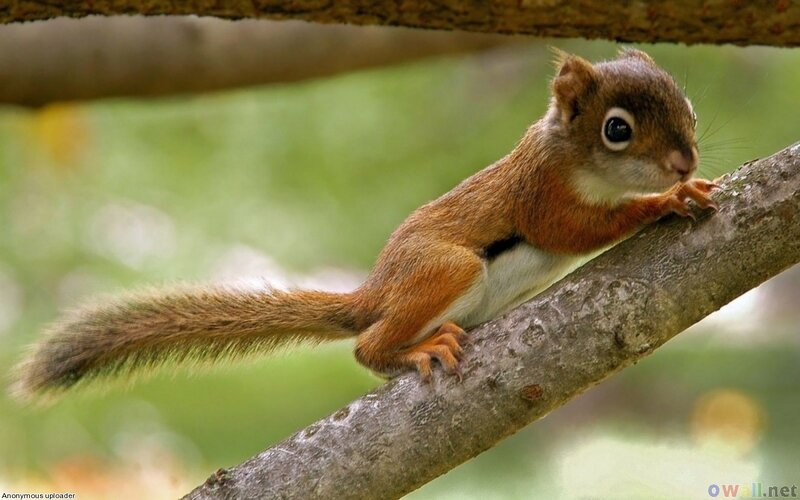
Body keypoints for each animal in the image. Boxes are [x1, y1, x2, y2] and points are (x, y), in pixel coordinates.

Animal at [11, 48, 718, 401]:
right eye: (617, 129)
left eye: (685, 100)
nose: (685, 158)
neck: (571, 156)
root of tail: (374, 293)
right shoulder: (540, 197)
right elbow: (573, 231)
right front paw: (662, 200)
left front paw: (685, 186)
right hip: (446, 268)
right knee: (365, 347)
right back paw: (411, 347)